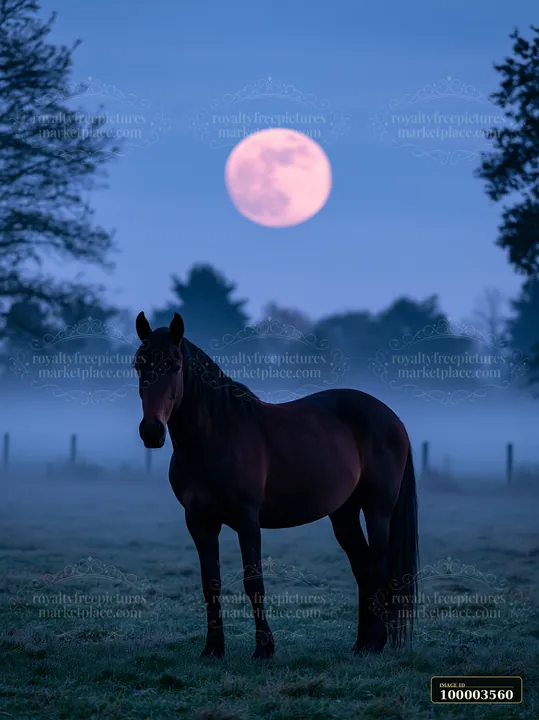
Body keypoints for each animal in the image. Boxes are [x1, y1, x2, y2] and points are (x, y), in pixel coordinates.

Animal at [134, 311, 419, 660]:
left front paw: (263, 648)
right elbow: (210, 583)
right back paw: (363, 642)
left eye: (174, 365)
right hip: (344, 513)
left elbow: (253, 582)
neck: (215, 437)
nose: (151, 431)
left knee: (377, 568)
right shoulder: (199, 521)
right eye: (139, 365)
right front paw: (213, 648)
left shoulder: (247, 519)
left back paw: (376, 641)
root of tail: (393, 418)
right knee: (362, 568)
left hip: (377, 509)